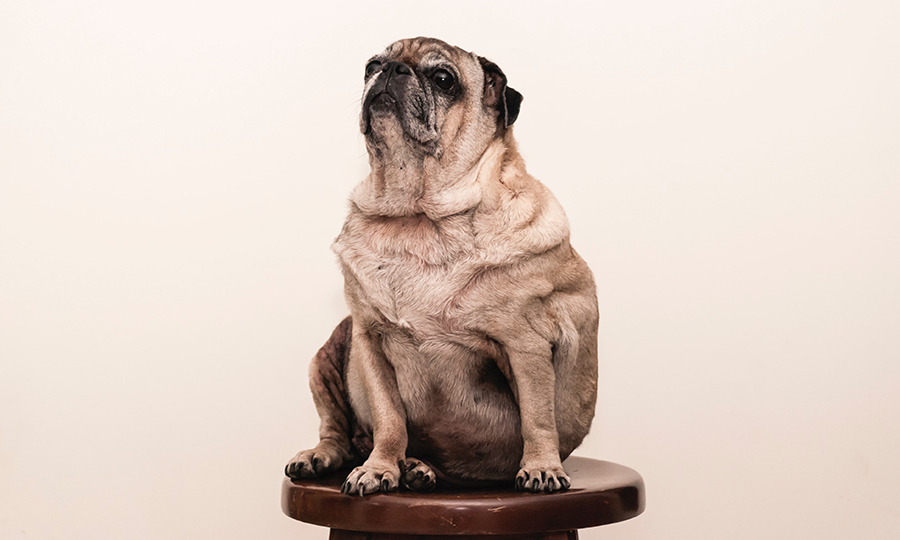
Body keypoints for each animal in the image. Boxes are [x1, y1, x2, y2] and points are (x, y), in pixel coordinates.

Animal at [288, 37, 596, 494]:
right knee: (339, 433)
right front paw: (380, 467)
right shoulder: (369, 339)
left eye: (443, 79)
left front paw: (542, 466)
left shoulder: (525, 345)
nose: (392, 69)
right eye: (372, 66)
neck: (417, 217)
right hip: (326, 358)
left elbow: (538, 417)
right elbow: (389, 419)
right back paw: (337, 458)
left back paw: (419, 468)